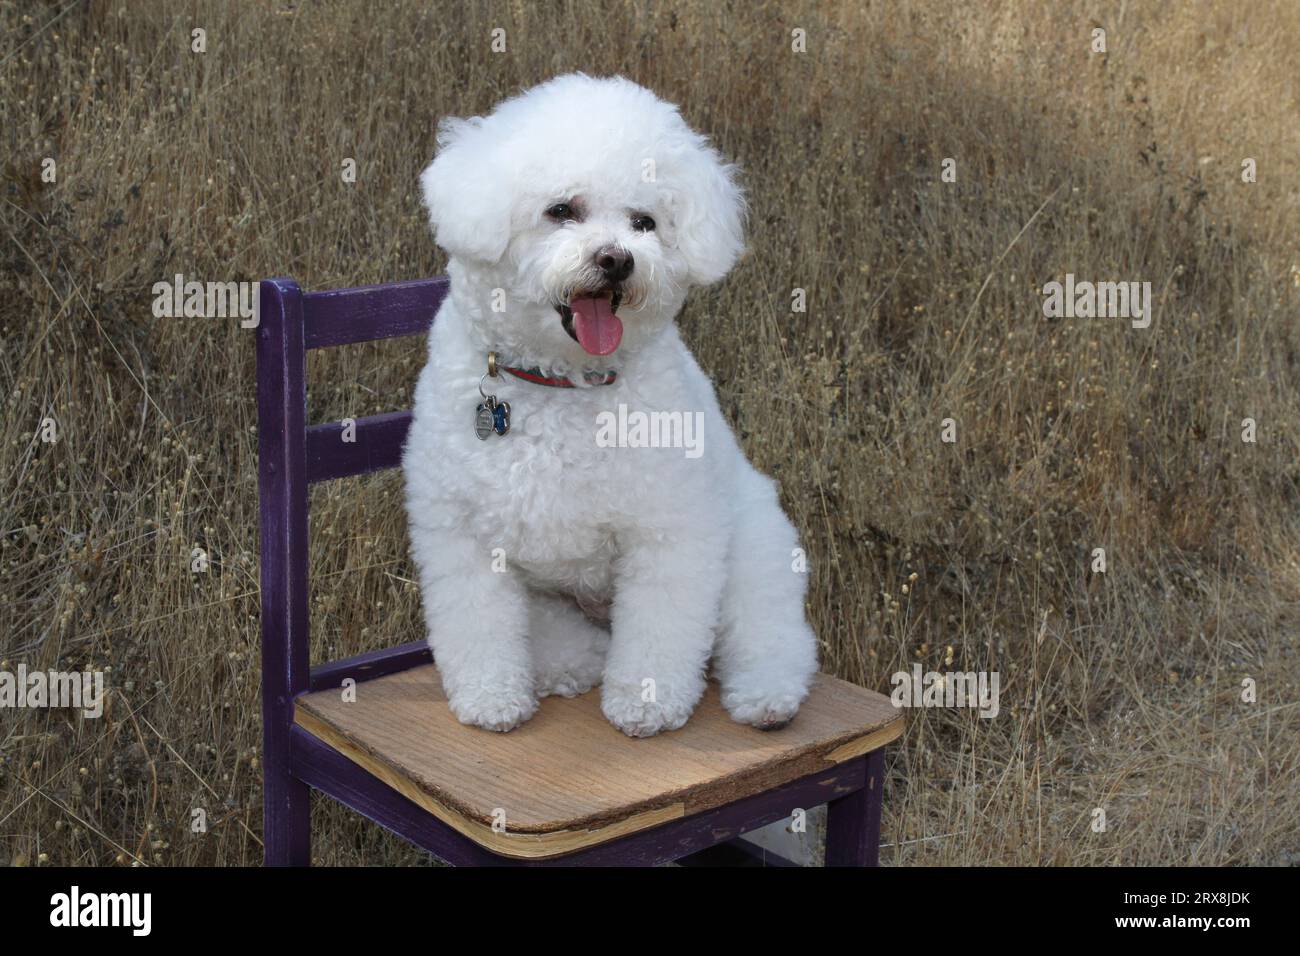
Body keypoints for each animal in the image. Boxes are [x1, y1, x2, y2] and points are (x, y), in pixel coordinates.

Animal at [400, 78, 816, 743]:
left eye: (645, 222)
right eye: (561, 210)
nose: (617, 259)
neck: (562, 384)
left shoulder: (668, 533)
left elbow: (661, 630)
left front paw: (647, 703)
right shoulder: (463, 538)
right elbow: (480, 628)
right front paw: (492, 698)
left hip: (753, 552)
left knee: (770, 632)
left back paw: (767, 695)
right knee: (563, 640)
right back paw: (570, 666)